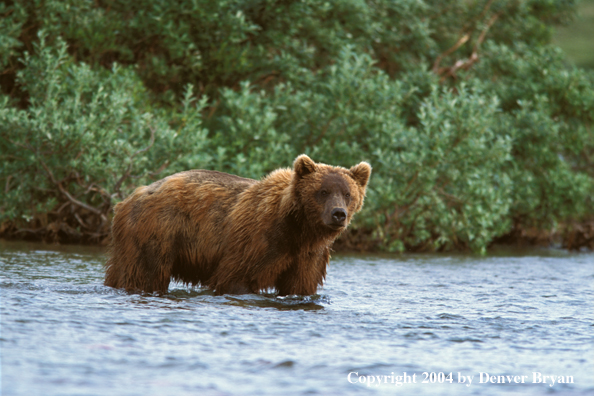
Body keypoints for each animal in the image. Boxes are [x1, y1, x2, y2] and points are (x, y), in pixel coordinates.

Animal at [104, 154, 368, 294]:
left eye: (348, 194)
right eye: (323, 191)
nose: (338, 214)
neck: (298, 229)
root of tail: (128, 198)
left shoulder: (309, 255)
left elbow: (300, 285)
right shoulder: (256, 238)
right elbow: (236, 277)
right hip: (158, 231)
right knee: (146, 274)